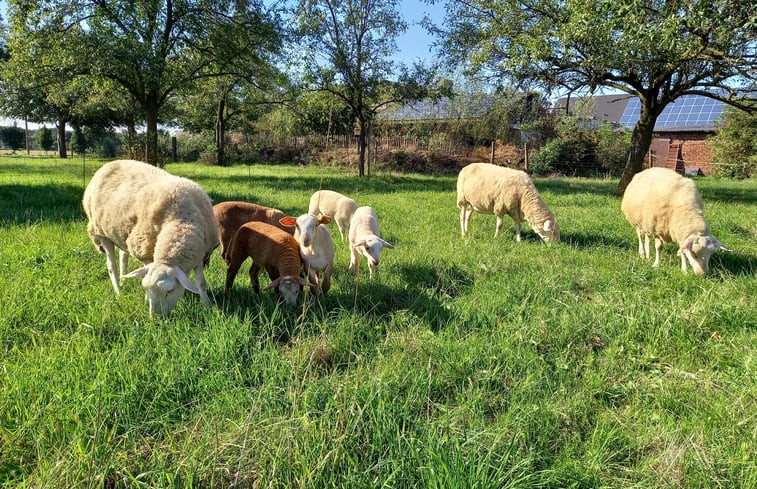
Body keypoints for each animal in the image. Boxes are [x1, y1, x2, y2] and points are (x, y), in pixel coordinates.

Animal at [83, 158, 219, 314]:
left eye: (170, 291)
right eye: (146, 289)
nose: (156, 318)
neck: (181, 221)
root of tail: (108, 165)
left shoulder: (201, 255)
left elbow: (201, 283)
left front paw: (208, 305)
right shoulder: (145, 252)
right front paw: (145, 300)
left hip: (122, 232)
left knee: (123, 256)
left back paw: (124, 280)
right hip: (101, 233)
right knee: (112, 267)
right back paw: (118, 292)